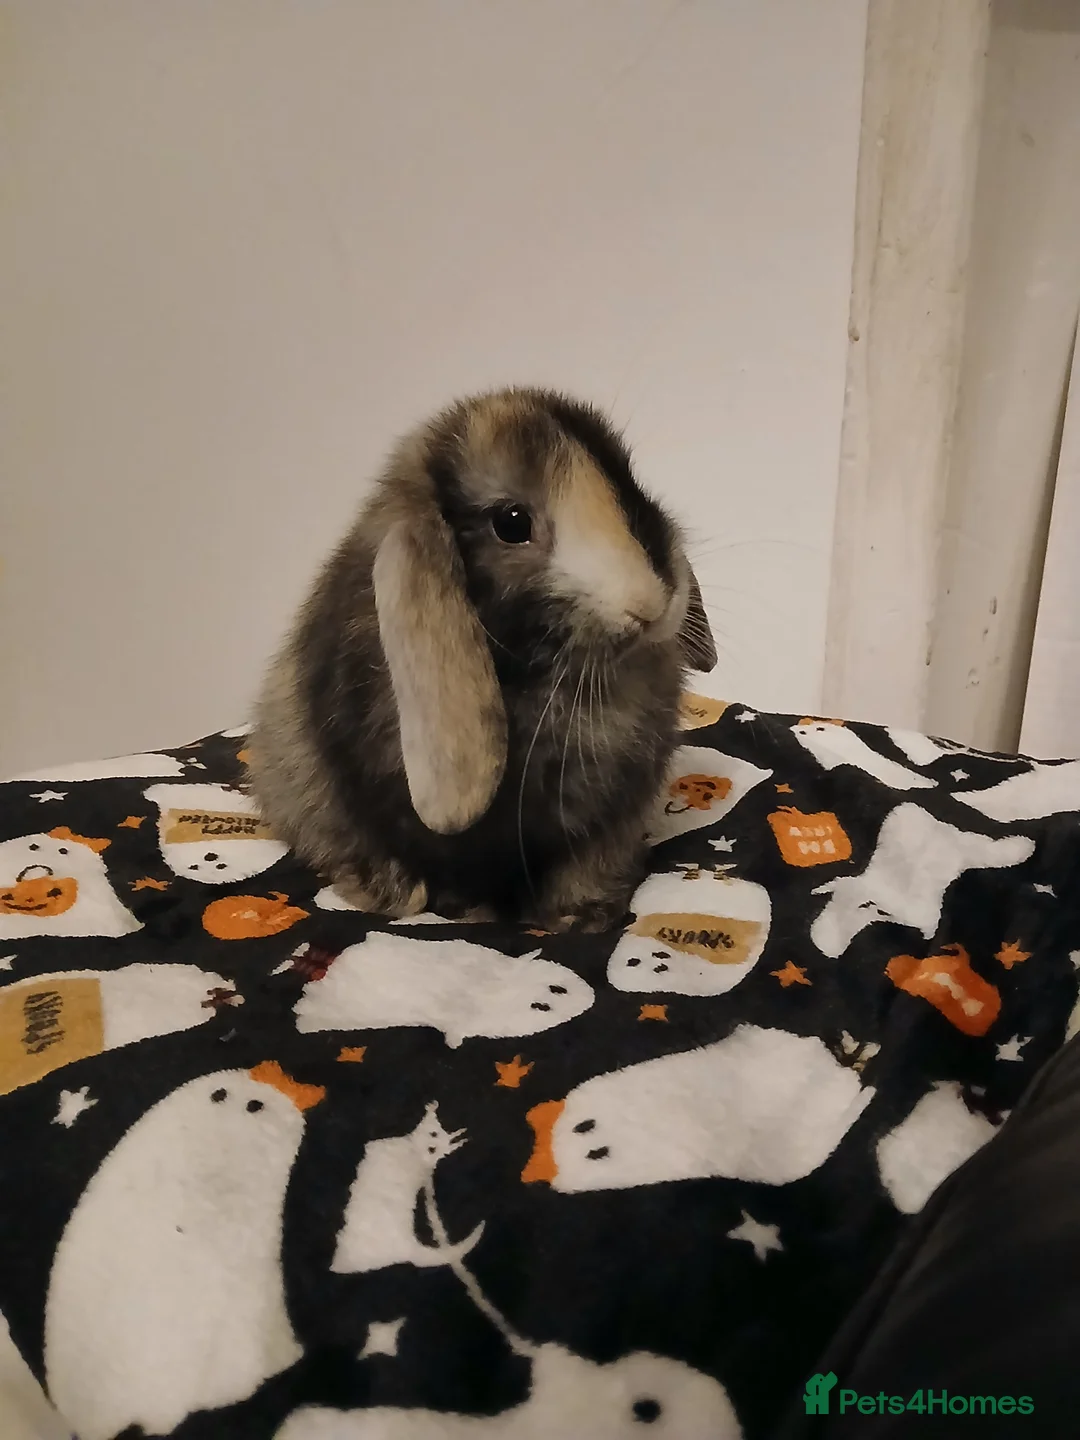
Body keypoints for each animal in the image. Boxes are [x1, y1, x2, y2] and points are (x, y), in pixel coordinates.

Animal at [247, 388, 716, 931]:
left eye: (629, 479)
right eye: (511, 522)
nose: (653, 603)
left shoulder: (612, 819)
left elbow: (587, 865)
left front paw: (581, 916)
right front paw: (433, 903)